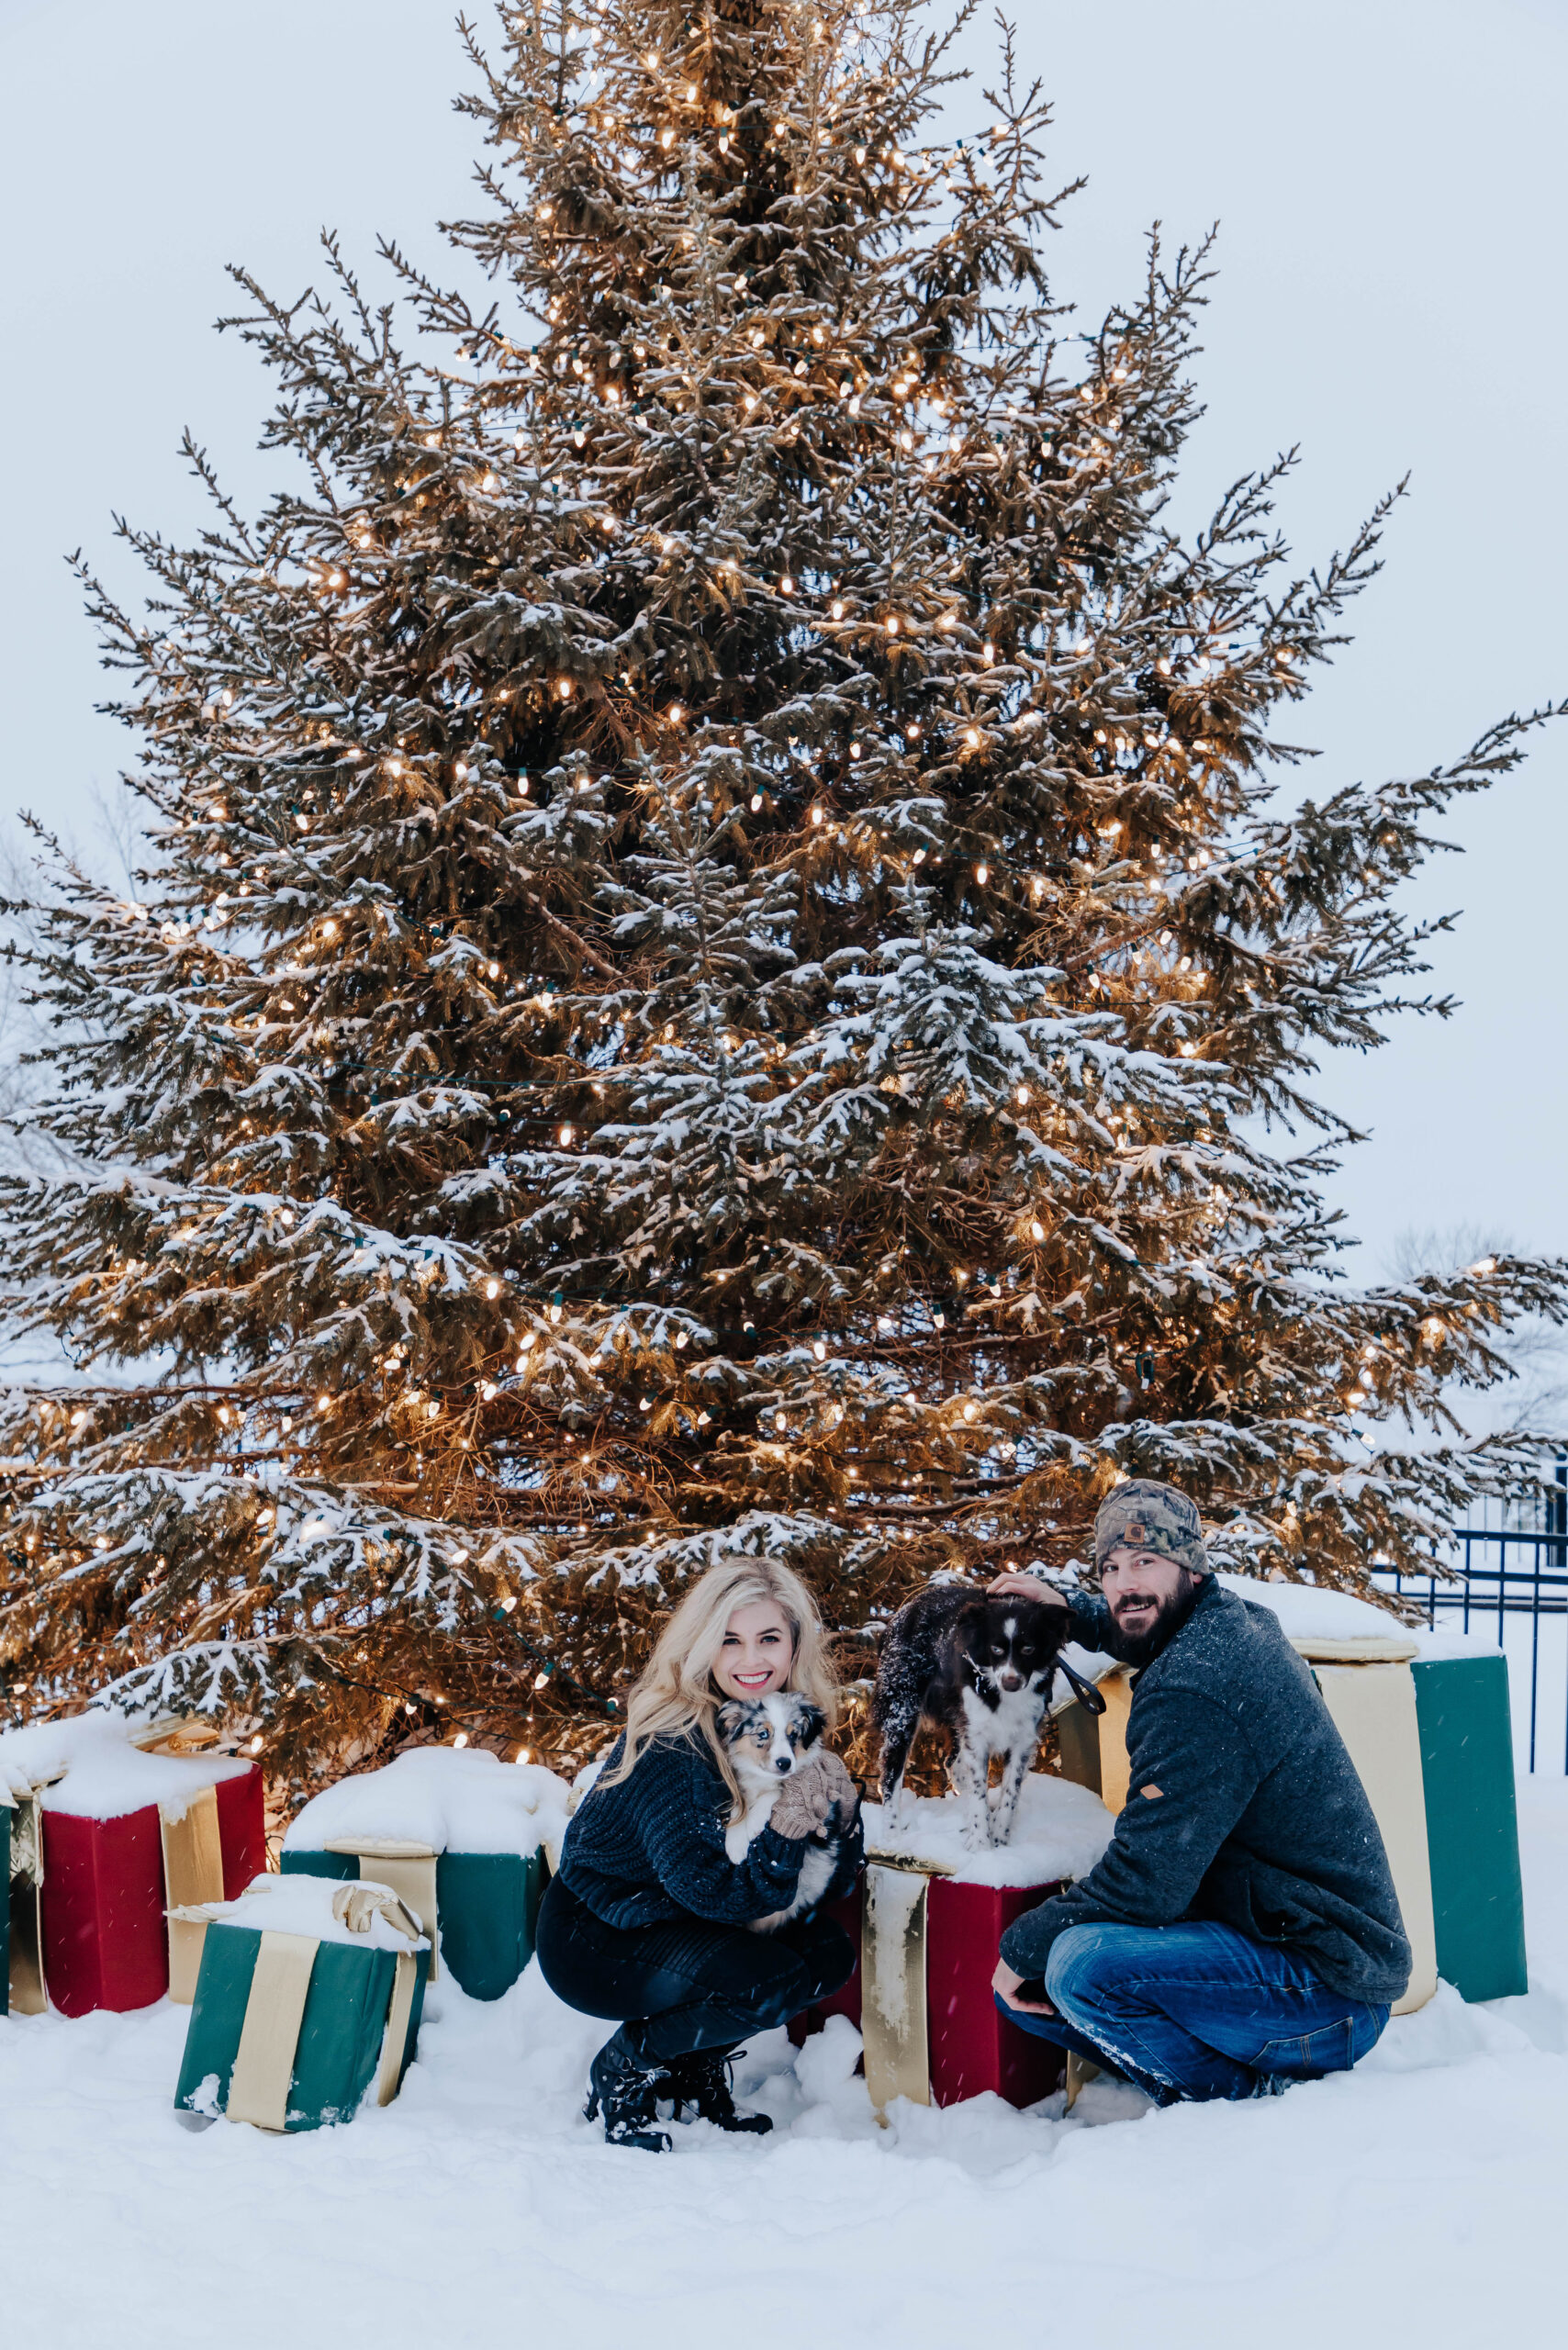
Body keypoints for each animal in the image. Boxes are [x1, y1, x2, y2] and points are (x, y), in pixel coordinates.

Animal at [719, 1701, 850, 1936]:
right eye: (763, 1734)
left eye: (794, 1735)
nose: (784, 1763)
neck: (762, 1778)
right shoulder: (742, 1787)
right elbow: (738, 1808)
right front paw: (736, 1846)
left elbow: (775, 1794)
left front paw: (753, 1825)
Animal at [869, 1588, 1104, 1842]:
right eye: (996, 1649)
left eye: (1028, 1649)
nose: (1011, 1683)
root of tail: (902, 1612)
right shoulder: (978, 1734)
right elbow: (979, 1793)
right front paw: (981, 1842)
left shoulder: (1022, 1739)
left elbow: (1009, 1794)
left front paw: (1000, 1839)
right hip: (903, 1712)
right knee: (891, 1775)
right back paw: (892, 1833)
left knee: (952, 1763)